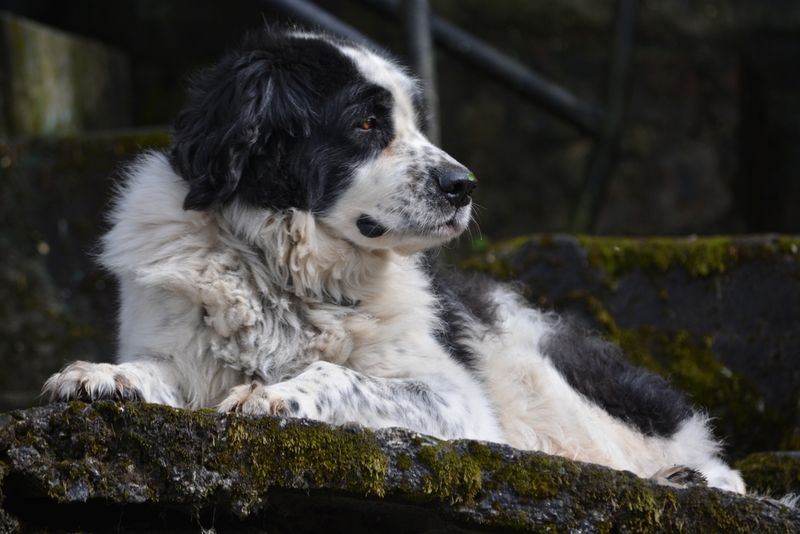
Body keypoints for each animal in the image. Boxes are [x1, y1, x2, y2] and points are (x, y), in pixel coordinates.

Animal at [42, 27, 744, 496]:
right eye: (365, 123)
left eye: (413, 121)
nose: (465, 186)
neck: (282, 271)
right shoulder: (176, 347)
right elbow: (153, 369)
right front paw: (103, 374)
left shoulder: (462, 405)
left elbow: (341, 376)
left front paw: (276, 393)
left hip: (555, 386)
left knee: (721, 471)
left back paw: (686, 477)